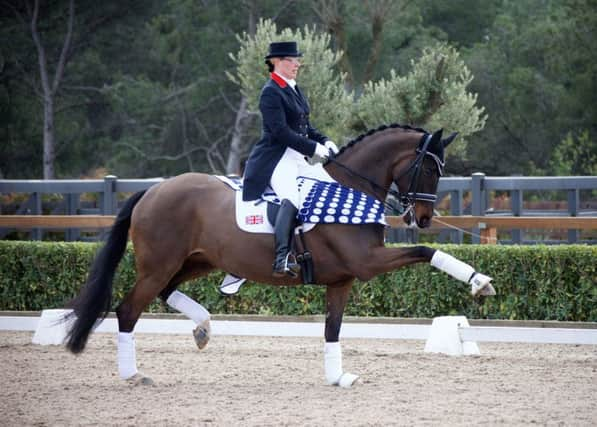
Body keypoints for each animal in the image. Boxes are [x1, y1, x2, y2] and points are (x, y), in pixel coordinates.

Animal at [64, 123, 494, 388]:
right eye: (430, 170)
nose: (422, 218)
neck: (351, 188)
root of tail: (152, 190)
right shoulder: (366, 262)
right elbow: (425, 251)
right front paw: (480, 281)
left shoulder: (342, 280)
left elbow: (332, 330)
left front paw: (338, 377)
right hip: (160, 264)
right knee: (128, 310)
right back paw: (134, 374)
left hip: (197, 260)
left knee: (166, 292)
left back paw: (203, 328)